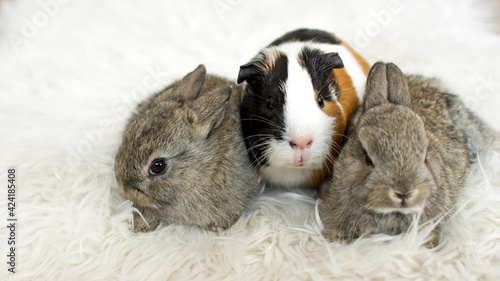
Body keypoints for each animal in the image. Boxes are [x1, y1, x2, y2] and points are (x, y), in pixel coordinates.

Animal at [115, 64, 260, 231]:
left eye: (158, 166)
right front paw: (141, 225)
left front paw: (219, 227)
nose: (123, 187)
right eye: (129, 133)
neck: (202, 168)